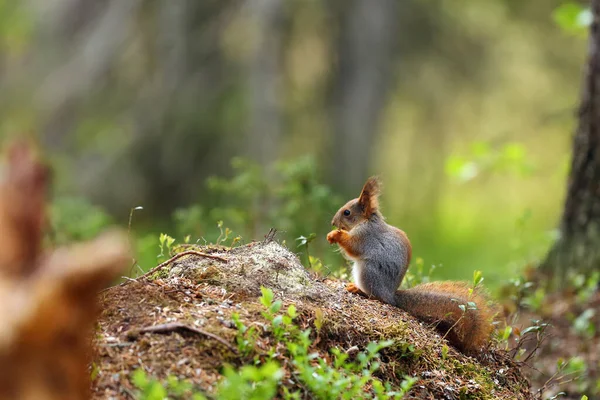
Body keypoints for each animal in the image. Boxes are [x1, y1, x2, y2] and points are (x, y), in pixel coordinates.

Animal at [328, 177, 492, 352]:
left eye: (347, 212)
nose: (332, 222)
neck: (367, 221)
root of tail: (391, 295)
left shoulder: (365, 236)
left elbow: (353, 247)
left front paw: (335, 235)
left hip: (368, 272)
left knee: (377, 297)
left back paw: (359, 290)